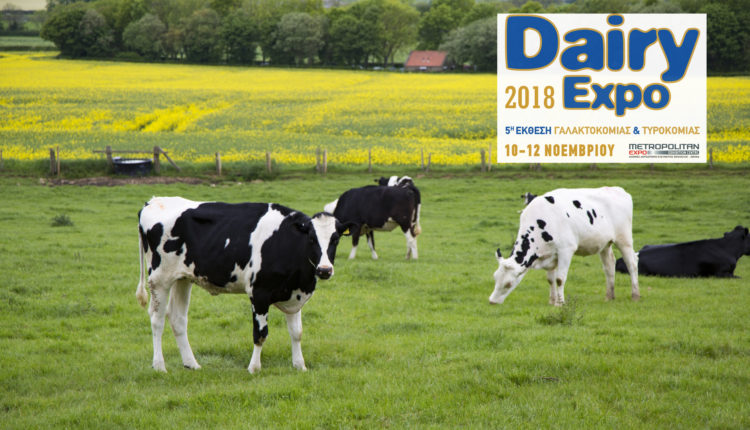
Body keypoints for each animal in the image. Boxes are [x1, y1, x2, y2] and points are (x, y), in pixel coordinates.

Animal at [136, 197, 351, 374]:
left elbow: (296, 333)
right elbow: (260, 334)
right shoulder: (259, 293)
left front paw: (300, 366)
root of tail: (153, 201)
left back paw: (192, 364)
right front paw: (254, 368)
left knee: (178, 318)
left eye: (336, 239)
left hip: (182, 278)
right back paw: (159, 366)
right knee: (157, 319)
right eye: (312, 238)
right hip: (159, 279)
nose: (325, 270)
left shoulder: (294, 295)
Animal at [489, 187, 640, 306]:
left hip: (624, 239)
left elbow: (560, 279)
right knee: (609, 266)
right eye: (495, 278)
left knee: (632, 264)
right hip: (605, 244)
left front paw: (560, 303)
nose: (492, 301)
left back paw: (635, 295)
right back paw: (609, 296)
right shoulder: (549, 254)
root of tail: (617, 190)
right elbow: (550, 279)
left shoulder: (566, 250)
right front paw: (552, 300)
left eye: (508, 284)